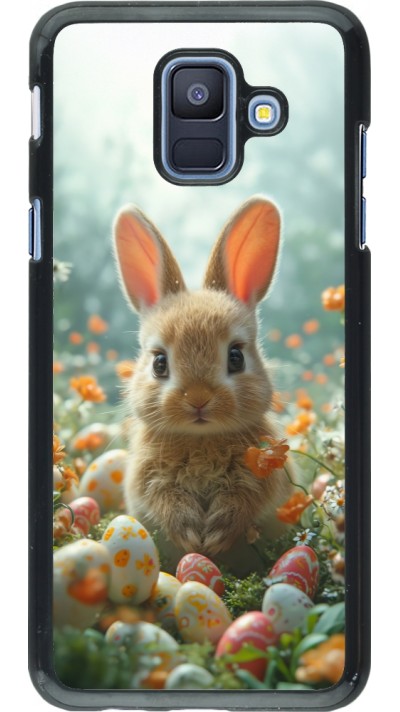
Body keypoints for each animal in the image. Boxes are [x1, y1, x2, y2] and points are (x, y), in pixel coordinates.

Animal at [113, 196, 293, 573]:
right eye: (159, 363)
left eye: (236, 357)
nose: (198, 399)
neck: (201, 439)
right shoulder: (148, 478)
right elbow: (164, 500)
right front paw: (192, 535)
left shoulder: (262, 475)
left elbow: (244, 500)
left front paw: (215, 535)